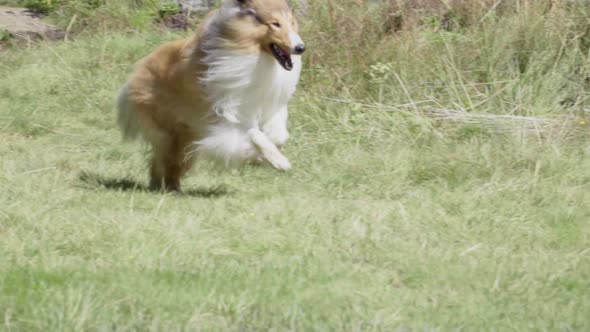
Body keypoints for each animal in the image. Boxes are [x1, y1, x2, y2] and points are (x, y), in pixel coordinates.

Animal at [118, 0, 308, 192]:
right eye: (275, 24)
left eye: (292, 22)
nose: (300, 48)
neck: (256, 57)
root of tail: (140, 67)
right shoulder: (227, 113)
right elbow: (255, 134)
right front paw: (280, 162)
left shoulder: (271, 105)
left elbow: (278, 135)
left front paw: (265, 155)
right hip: (168, 132)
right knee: (166, 159)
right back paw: (167, 187)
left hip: (187, 135)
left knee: (167, 161)